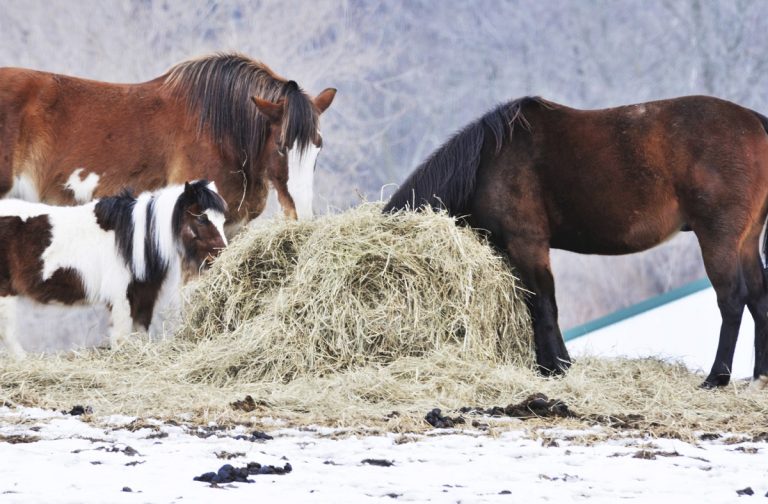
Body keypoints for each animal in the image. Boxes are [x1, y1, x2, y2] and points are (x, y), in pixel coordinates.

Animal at [0, 179, 227, 356]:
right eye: (201, 218)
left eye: (222, 220)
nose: (221, 255)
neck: (135, 239)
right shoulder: (121, 298)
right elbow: (121, 338)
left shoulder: (145, 296)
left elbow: (140, 333)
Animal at [384, 95, 768, 390]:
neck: (488, 164)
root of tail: (754, 121)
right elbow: (536, 305)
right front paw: (551, 366)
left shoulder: (528, 244)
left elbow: (543, 306)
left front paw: (555, 368)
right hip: (747, 242)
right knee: (758, 298)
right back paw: (759, 376)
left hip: (718, 238)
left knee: (732, 301)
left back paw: (716, 378)